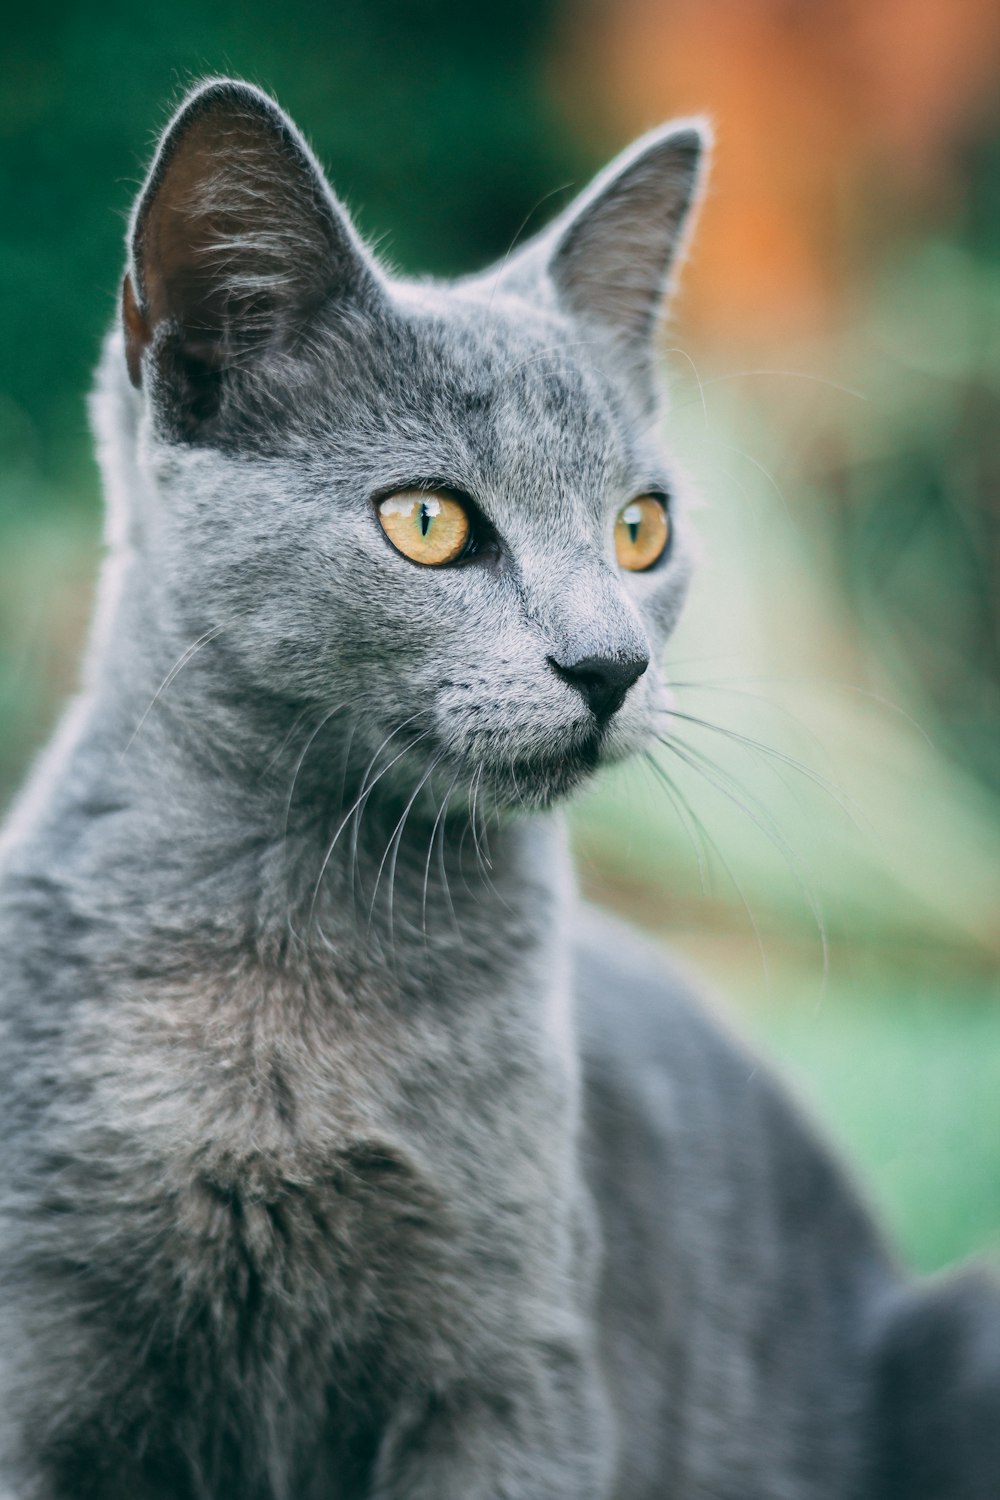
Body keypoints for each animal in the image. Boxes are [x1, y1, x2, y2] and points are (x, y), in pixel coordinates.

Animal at [0, 79, 995, 1500]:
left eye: (641, 529)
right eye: (427, 522)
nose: (611, 662)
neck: (299, 934)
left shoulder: (513, 1362)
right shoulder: (41, 1343)